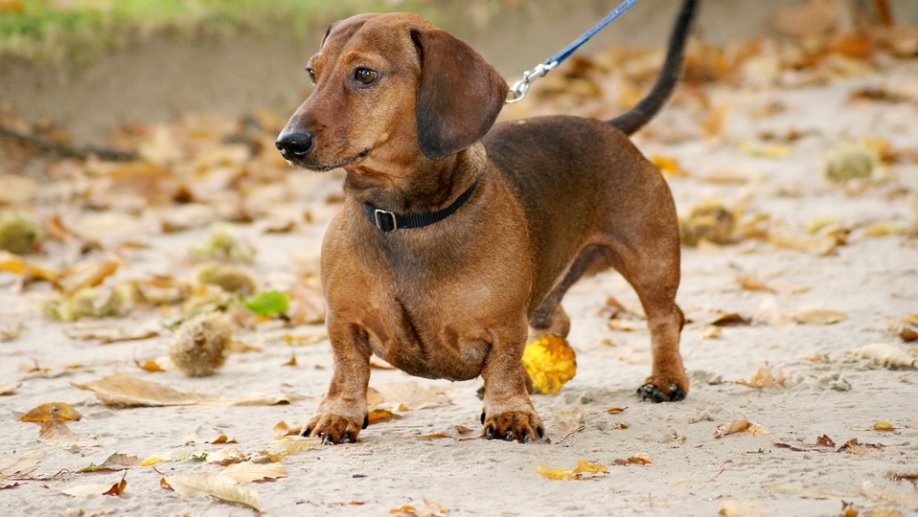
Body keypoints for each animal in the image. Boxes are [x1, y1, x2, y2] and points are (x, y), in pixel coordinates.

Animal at [276, 0, 700, 444]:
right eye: (312, 72)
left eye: (364, 74)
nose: (287, 144)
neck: (405, 219)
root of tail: (608, 126)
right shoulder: (343, 323)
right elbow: (347, 370)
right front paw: (337, 415)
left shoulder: (505, 324)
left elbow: (504, 364)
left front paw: (510, 412)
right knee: (558, 321)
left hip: (650, 260)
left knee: (666, 317)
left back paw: (666, 379)